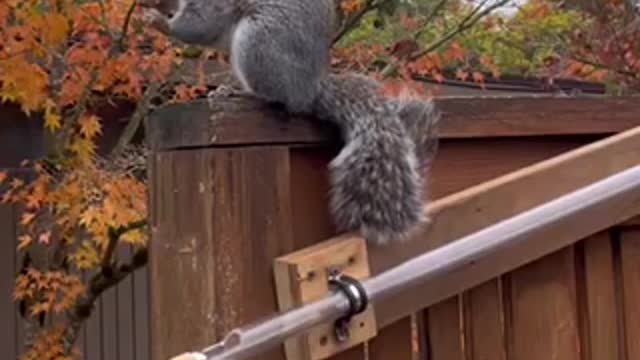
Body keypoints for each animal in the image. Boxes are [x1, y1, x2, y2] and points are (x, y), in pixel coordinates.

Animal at [140, 0, 440, 245]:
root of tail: (309, 89)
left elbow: (199, 25)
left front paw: (159, 22)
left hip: (258, 42)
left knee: (276, 97)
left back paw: (240, 94)